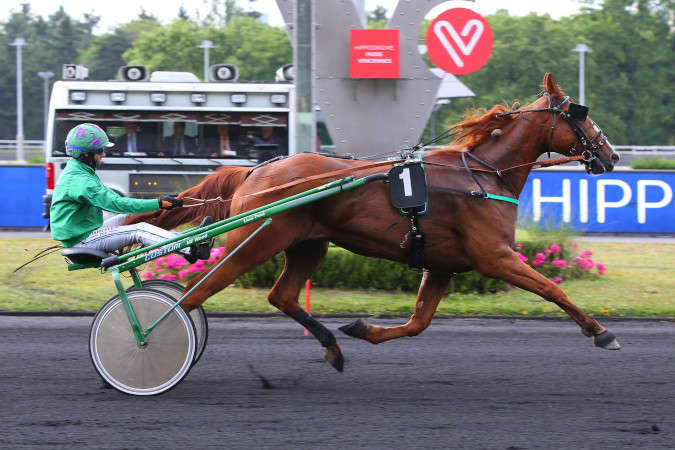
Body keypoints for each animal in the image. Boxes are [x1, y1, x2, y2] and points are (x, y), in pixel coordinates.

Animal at [127, 73, 620, 372]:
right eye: (580, 113)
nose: (611, 155)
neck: (481, 174)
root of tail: (256, 171)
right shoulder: (493, 256)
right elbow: (553, 288)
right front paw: (601, 333)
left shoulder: (442, 264)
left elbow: (418, 322)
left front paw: (362, 329)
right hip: (256, 242)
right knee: (197, 294)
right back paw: (150, 341)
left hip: (308, 243)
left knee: (281, 295)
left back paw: (332, 344)